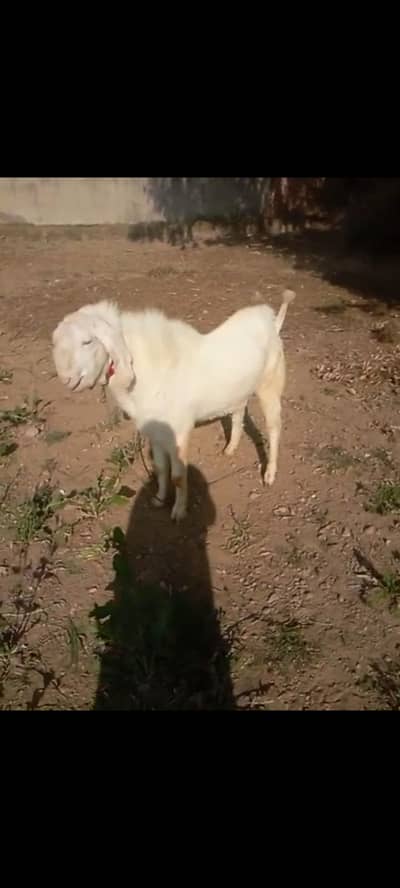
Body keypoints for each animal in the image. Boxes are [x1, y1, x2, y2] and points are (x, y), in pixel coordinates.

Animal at [52, 289, 295, 521]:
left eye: (87, 341)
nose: (67, 379)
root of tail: (272, 322)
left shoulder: (179, 430)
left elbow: (178, 476)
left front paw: (178, 512)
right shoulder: (154, 429)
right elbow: (160, 468)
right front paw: (159, 499)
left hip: (270, 385)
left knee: (274, 428)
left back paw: (269, 474)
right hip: (239, 391)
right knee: (238, 412)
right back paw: (230, 448)